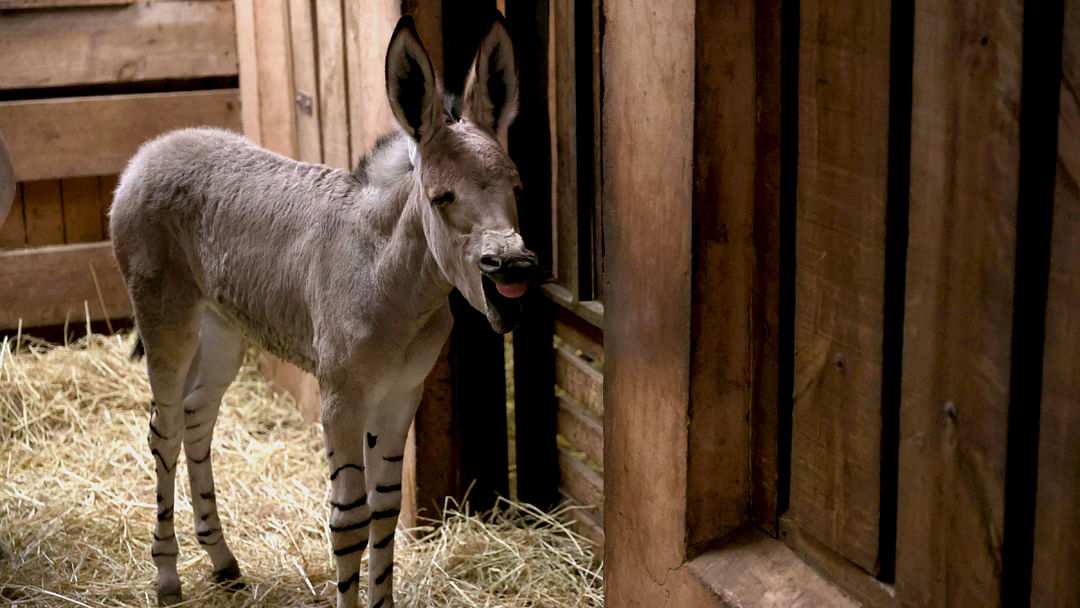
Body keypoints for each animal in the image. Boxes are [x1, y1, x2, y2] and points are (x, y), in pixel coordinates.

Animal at [110, 15, 531, 608]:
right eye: (442, 197)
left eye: (517, 186)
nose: (513, 267)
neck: (392, 281)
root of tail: (152, 149)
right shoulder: (341, 399)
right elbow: (350, 519)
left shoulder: (401, 394)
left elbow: (384, 510)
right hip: (166, 322)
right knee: (163, 429)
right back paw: (168, 578)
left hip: (223, 330)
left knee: (196, 418)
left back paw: (222, 562)